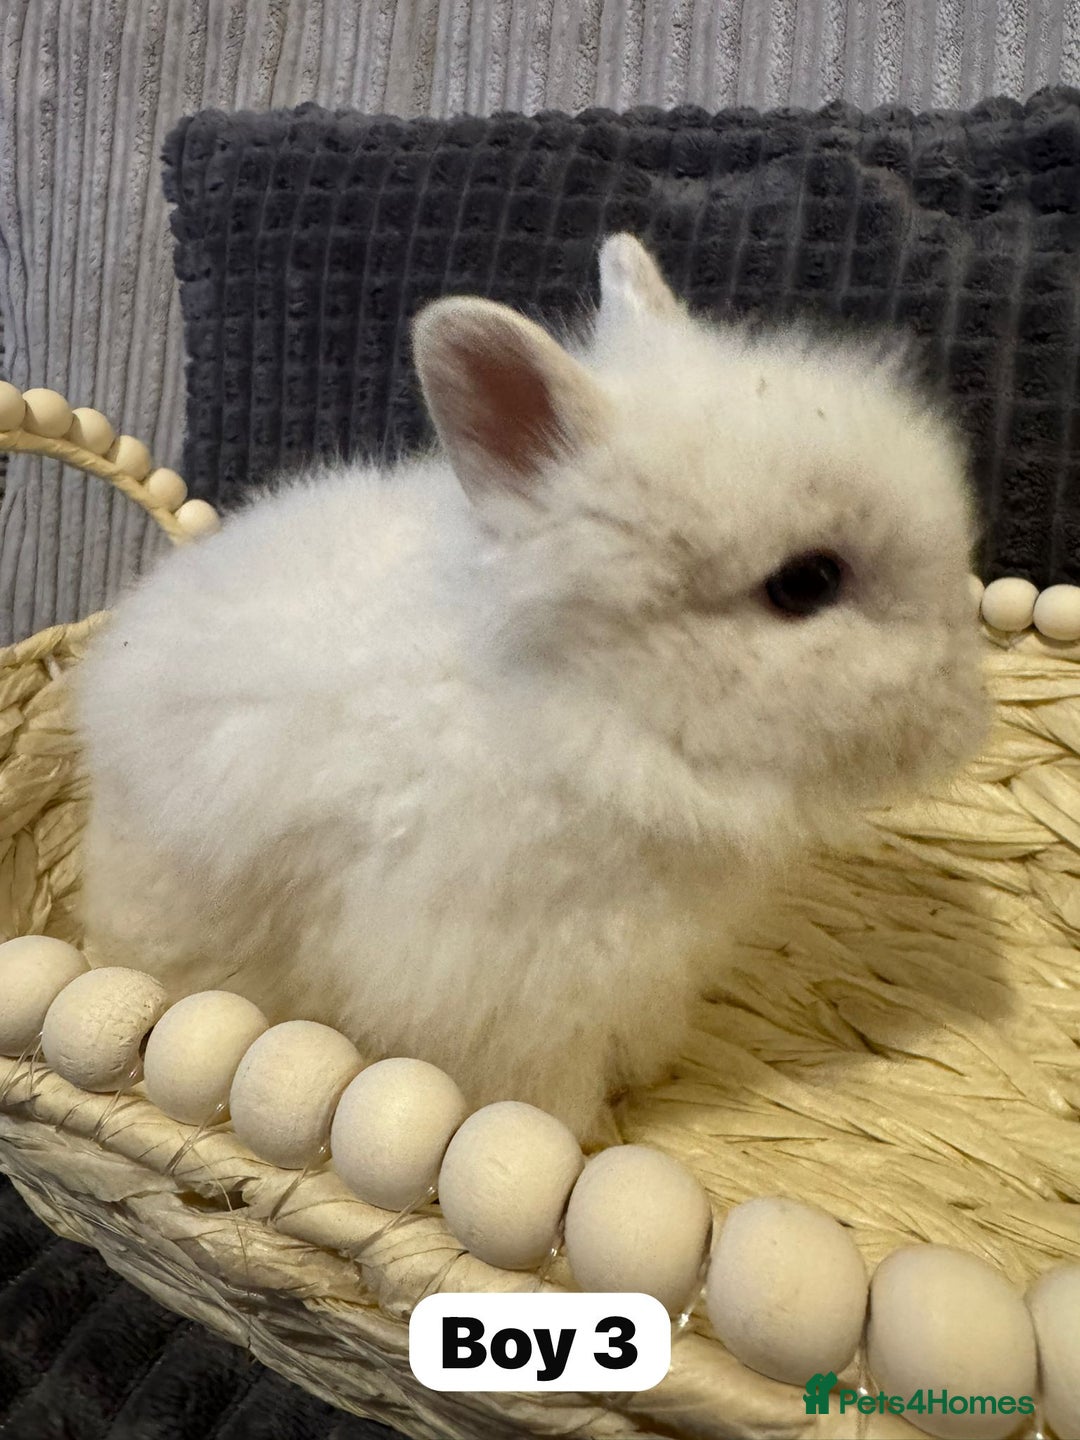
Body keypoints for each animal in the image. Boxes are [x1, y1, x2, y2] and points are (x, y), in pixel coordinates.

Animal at [74, 233, 989, 1145]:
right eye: (805, 583)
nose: (964, 717)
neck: (593, 710)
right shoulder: (516, 993)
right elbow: (542, 1098)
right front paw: (585, 1137)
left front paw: (647, 1075)